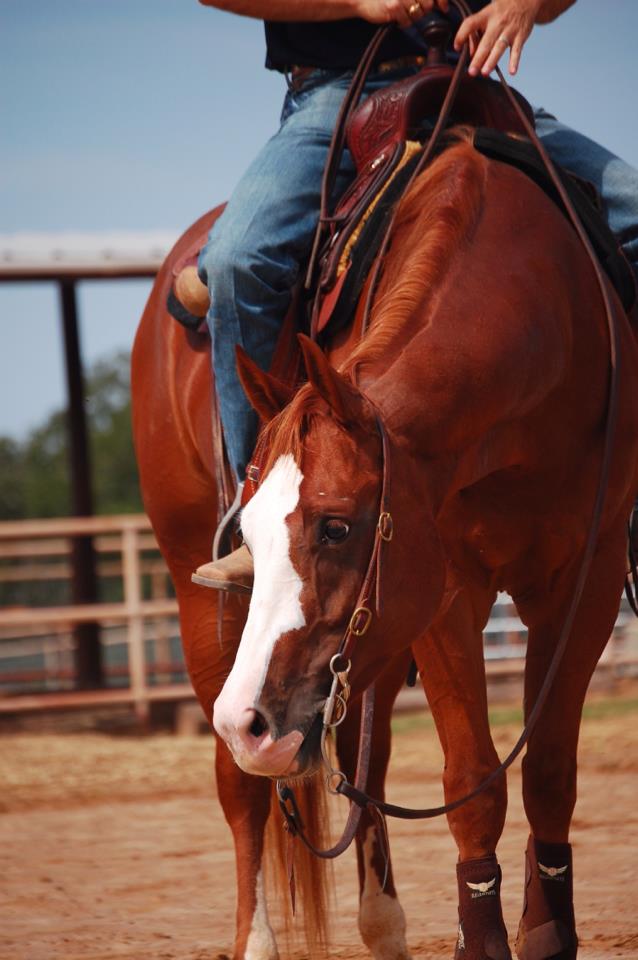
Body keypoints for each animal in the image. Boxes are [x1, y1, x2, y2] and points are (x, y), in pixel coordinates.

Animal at [206, 139, 638, 956]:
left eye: (336, 525)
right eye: (247, 532)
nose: (249, 721)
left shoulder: (588, 576)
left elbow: (549, 773)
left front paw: (544, 927)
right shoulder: (446, 591)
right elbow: (472, 782)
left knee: (361, 767)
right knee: (242, 793)